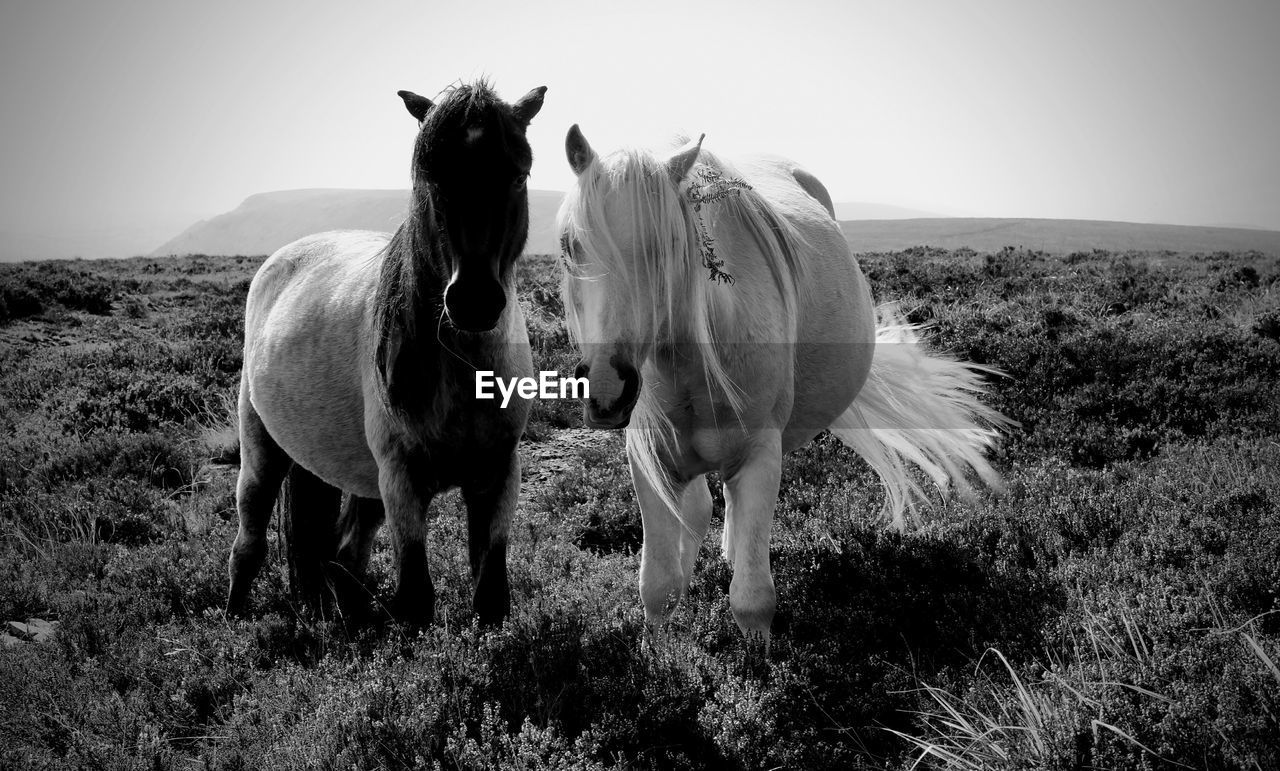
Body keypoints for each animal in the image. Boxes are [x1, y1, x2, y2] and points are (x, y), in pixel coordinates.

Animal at [226, 80, 547, 626]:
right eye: (431, 179)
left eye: (518, 175)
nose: (474, 301)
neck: (463, 377)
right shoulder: (402, 482)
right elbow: (416, 597)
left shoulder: (497, 475)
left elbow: (490, 597)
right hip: (264, 453)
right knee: (249, 542)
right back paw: (232, 618)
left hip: (362, 482)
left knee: (343, 555)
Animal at [556, 125, 1010, 645]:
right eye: (570, 245)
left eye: (668, 243)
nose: (606, 388)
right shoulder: (649, 457)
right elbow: (659, 585)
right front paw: (661, 651)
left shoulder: (760, 455)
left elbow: (751, 598)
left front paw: (757, 662)